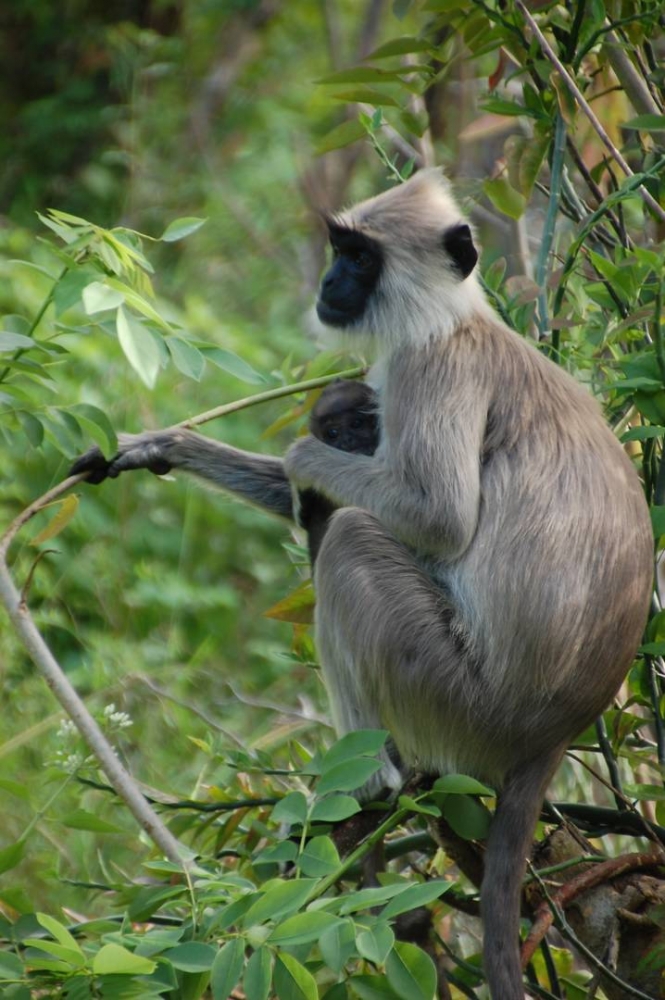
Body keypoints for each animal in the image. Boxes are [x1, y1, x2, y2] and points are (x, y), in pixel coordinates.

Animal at [70, 169, 652, 998]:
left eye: (357, 257)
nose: (328, 281)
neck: (451, 323)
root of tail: (553, 731)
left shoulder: (428, 371)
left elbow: (437, 519)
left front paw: (299, 458)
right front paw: (158, 444)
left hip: (455, 695)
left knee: (347, 538)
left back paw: (371, 781)